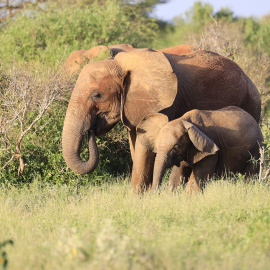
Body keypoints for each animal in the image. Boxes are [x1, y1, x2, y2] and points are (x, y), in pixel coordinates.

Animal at [61, 48, 262, 192]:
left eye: (97, 95)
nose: (91, 131)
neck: (122, 64)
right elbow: (137, 144)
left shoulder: (164, 103)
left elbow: (143, 150)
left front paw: (138, 199)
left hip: (251, 103)